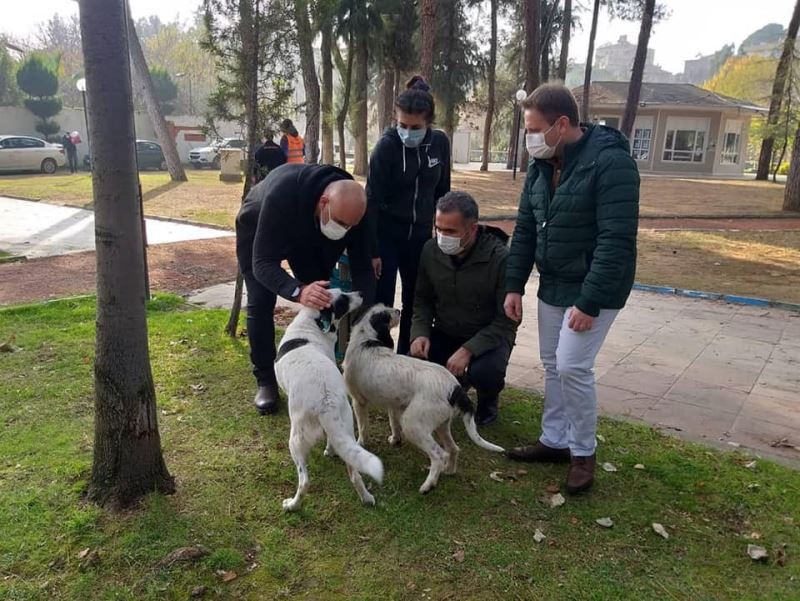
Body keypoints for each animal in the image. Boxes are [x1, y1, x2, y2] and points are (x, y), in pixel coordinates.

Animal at [276, 290, 384, 510]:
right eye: (343, 298)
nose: (360, 292)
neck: (310, 324)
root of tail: (327, 402)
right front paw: (329, 449)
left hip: (295, 440)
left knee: (304, 481)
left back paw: (292, 505)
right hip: (347, 427)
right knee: (355, 474)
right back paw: (366, 497)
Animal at [344, 302, 506, 494]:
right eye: (386, 312)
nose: (399, 310)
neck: (366, 342)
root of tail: (455, 388)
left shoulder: (358, 402)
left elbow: (363, 428)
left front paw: (361, 444)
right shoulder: (394, 404)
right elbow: (393, 424)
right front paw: (395, 440)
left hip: (413, 424)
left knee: (439, 454)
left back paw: (428, 484)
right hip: (441, 425)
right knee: (454, 449)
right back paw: (449, 471)